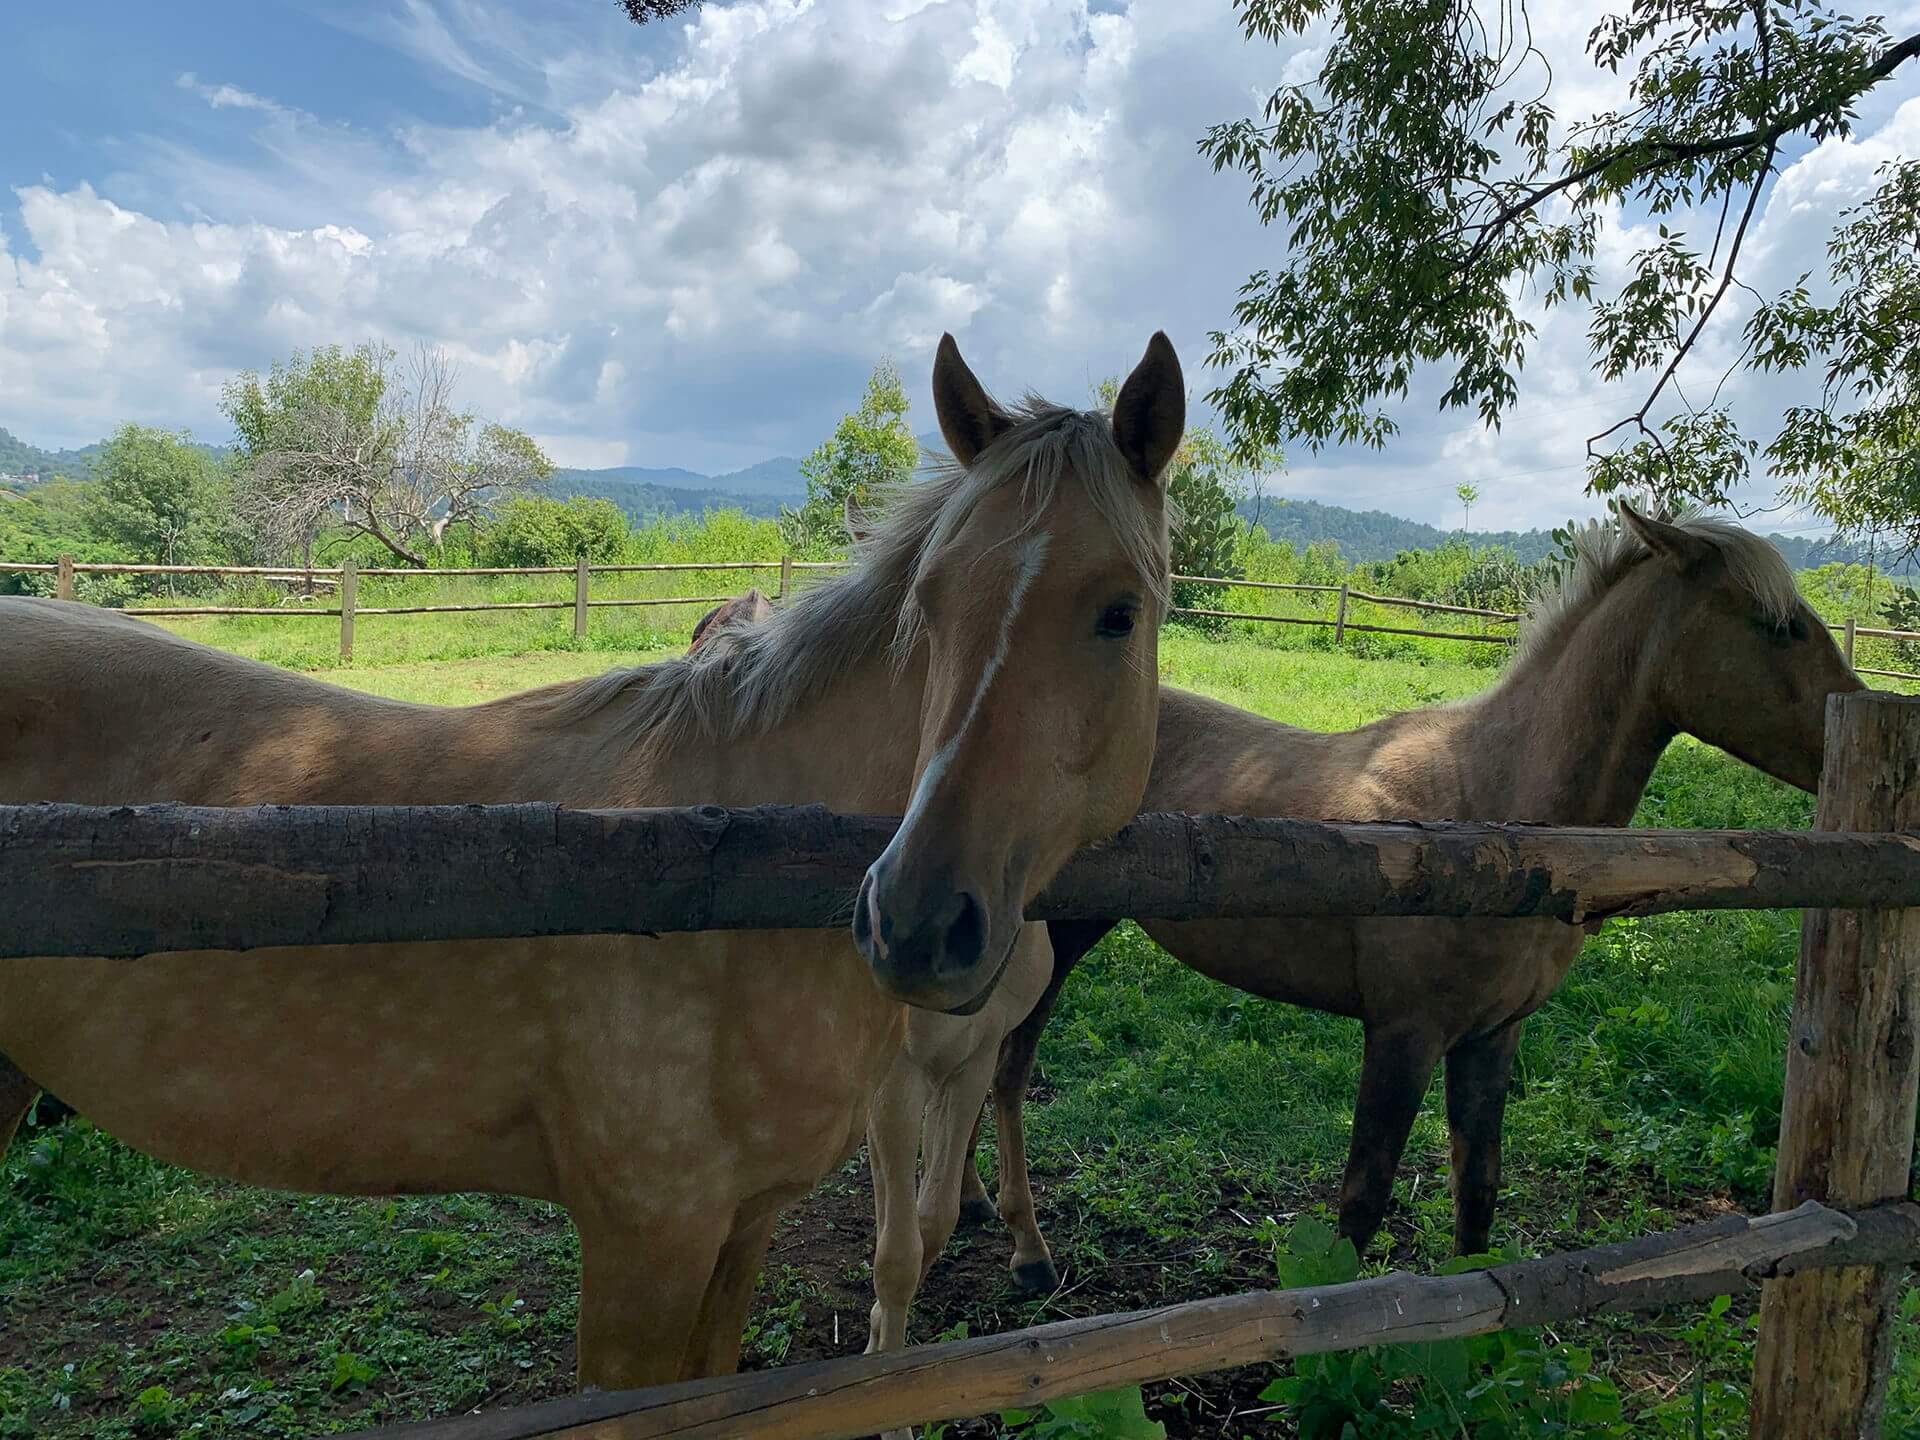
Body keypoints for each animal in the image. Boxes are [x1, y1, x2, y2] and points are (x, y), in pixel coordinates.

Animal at [0, 336, 1182, 1397]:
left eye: (1120, 613)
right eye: (928, 606)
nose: (916, 925)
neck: (732, 872)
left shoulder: (740, 1229)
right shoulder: (645, 1242)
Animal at [952, 503, 1866, 1282]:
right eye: (1779, 625)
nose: (1862, 712)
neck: (1495, 823)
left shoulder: (1492, 1037)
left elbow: (1478, 1194)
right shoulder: (1404, 1034)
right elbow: (1360, 1209)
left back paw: (968, 1206)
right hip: (1061, 937)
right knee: (1009, 1069)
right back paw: (1028, 1251)